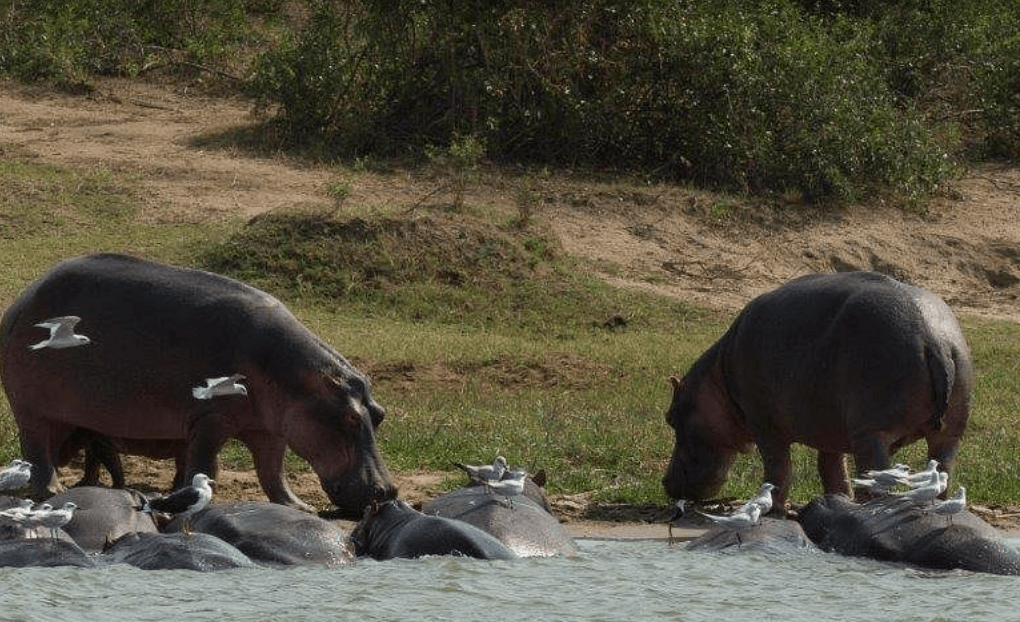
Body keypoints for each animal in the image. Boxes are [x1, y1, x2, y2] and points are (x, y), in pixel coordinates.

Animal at [0, 253, 396, 517]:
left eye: (379, 414)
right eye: (348, 419)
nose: (388, 490)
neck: (294, 377)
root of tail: (21, 300)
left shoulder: (271, 429)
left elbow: (274, 471)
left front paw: (298, 506)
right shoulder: (210, 419)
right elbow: (207, 462)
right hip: (31, 409)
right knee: (37, 450)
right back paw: (53, 488)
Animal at [663, 271, 972, 512]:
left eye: (670, 417)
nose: (665, 482)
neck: (718, 379)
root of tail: (934, 339)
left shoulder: (763, 424)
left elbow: (778, 469)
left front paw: (774, 509)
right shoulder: (829, 430)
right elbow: (832, 469)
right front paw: (839, 500)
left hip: (872, 434)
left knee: (876, 477)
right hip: (949, 433)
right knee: (942, 472)